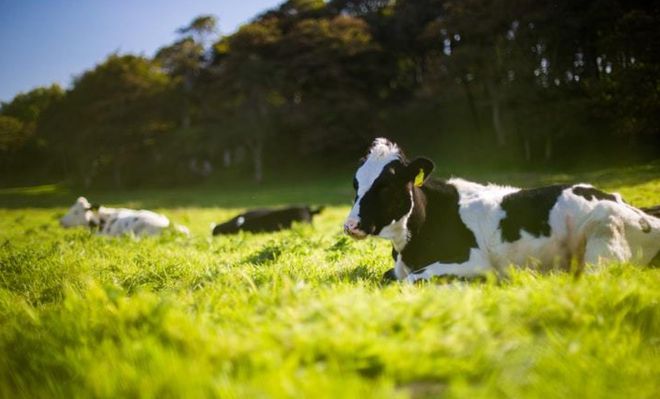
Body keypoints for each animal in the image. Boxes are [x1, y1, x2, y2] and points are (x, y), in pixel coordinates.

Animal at [342, 139, 660, 282]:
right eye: (356, 183)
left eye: (386, 185)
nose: (350, 225)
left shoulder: (473, 262)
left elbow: (410, 280)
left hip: (604, 235)